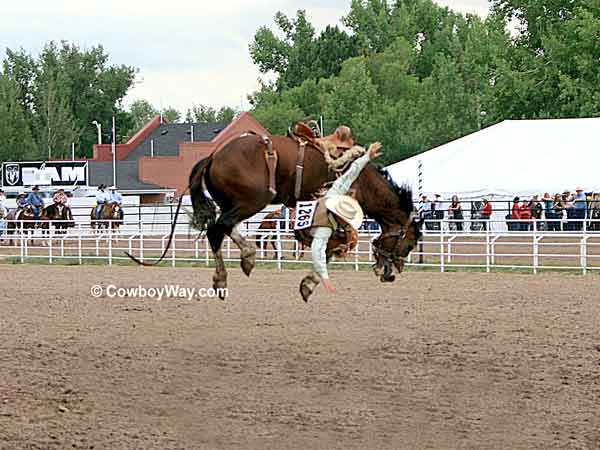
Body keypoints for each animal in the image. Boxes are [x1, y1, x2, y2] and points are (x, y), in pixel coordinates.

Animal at [127, 121, 422, 300]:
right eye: (408, 244)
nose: (391, 274)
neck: (363, 180)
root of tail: (213, 156)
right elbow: (332, 247)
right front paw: (309, 284)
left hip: (234, 203)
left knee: (222, 229)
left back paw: (240, 262)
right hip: (252, 201)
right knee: (218, 229)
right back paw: (235, 268)